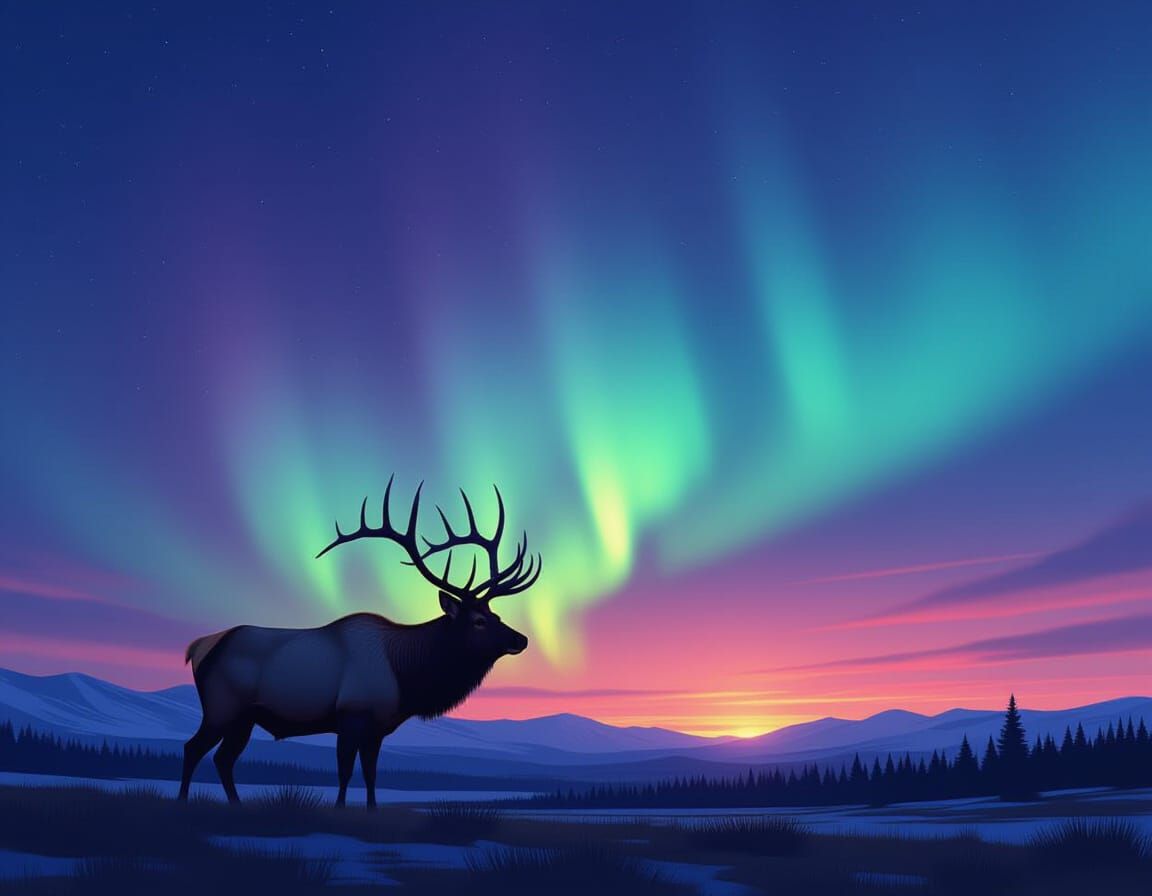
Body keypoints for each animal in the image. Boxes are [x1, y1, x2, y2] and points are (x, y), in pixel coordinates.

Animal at [177, 477, 539, 808]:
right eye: (478, 621)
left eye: (495, 614)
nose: (520, 639)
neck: (405, 675)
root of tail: (199, 646)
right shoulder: (351, 714)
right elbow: (345, 771)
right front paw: (339, 809)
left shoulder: (377, 727)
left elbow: (371, 774)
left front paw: (372, 809)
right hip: (222, 705)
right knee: (193, 748)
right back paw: (183, 801)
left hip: (244, 717)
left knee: (224, 758)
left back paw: (236, 804)